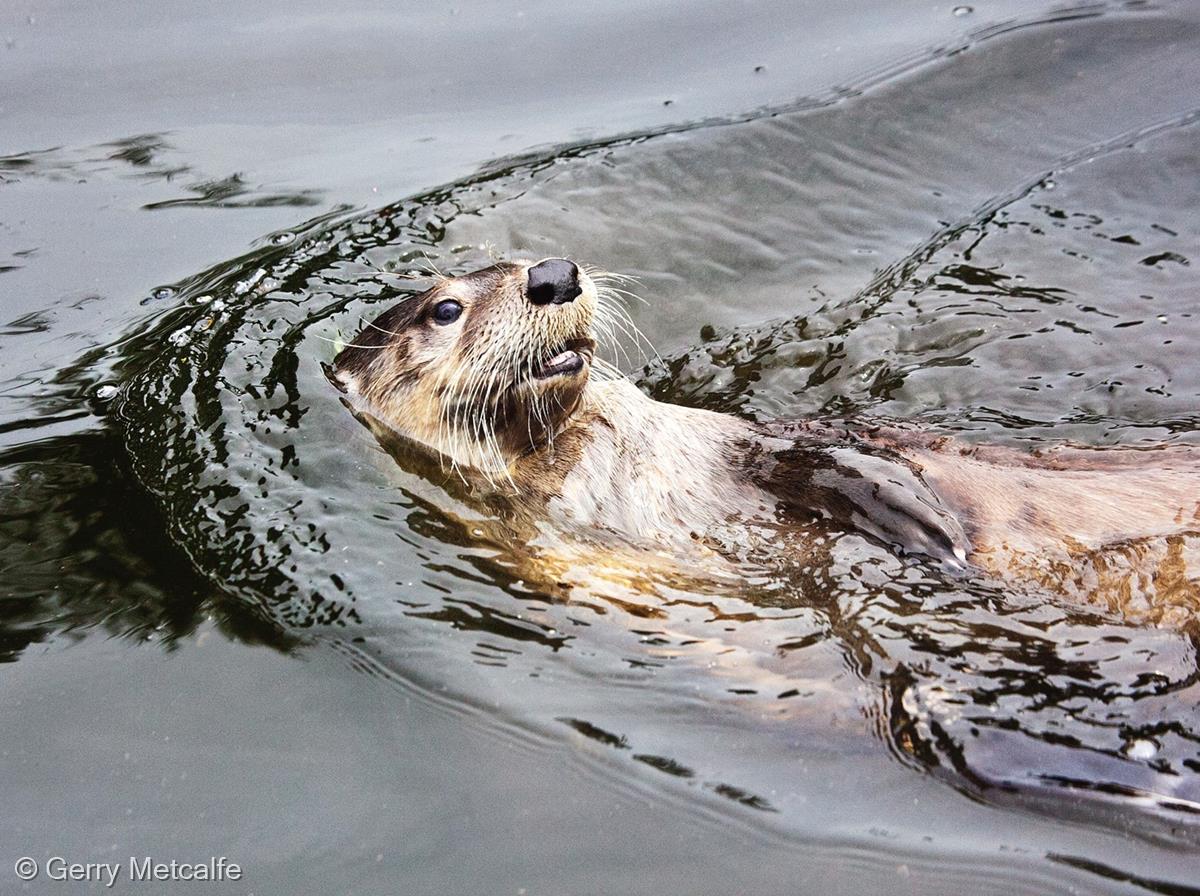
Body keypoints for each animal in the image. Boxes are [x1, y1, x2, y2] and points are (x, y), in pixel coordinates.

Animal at [333, 255, 1200, 628]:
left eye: (524, 255)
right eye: (446, 309)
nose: (555, 273)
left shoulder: (751, 445)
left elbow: (832, 451)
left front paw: (917, 515)